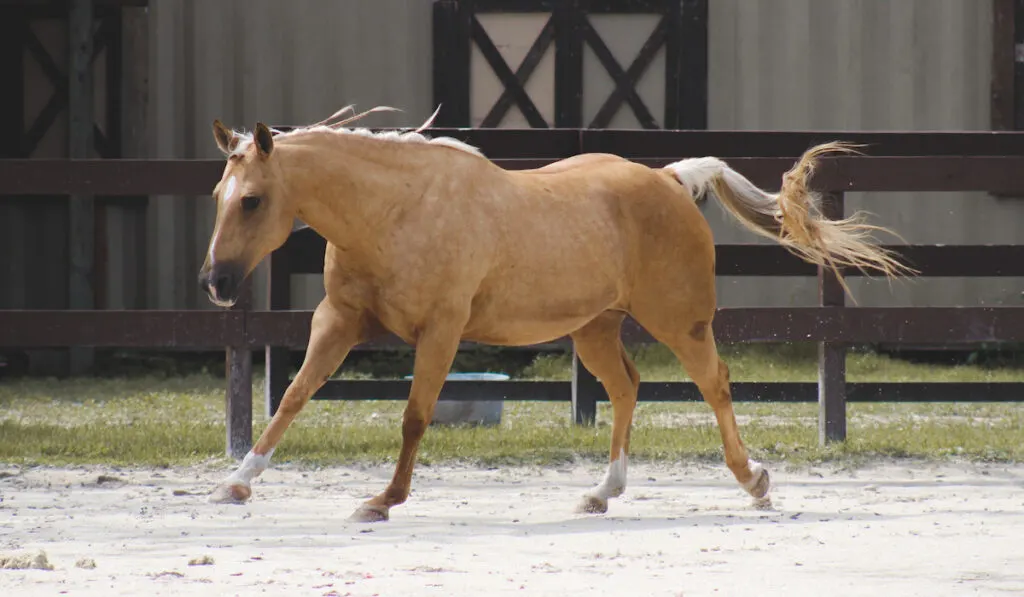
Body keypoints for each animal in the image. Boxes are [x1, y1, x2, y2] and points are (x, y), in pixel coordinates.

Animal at [199, 107, 913, 524]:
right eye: (218, 195)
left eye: (253, 200)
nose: (217, 283)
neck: (396, 210)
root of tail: (669, 179)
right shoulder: (338, 321)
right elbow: (292, 397)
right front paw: (237, 482)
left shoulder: (441, 332)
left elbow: (414, 417)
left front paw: (381, 500)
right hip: (594, 327)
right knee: (626, 387)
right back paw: (603, 492)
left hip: (679, 321)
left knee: (714, 384)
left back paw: (754, 482)